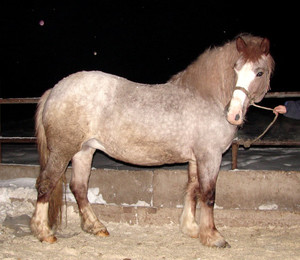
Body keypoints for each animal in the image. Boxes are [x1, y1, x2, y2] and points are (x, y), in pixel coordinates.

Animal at [30, 34, 274, 248]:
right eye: (235, 69)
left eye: (259, 72)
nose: (233, 115)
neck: (207, 98)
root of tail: (56, 89)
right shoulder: (210, 157)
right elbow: (208, 195)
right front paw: (214, 237)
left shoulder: (196, 158)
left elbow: (192, 189)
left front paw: (192, 228)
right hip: (62, 151)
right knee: (46, 183)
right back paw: (43, 232)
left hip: (84, 151)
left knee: (79, 187)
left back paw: (96, 226)